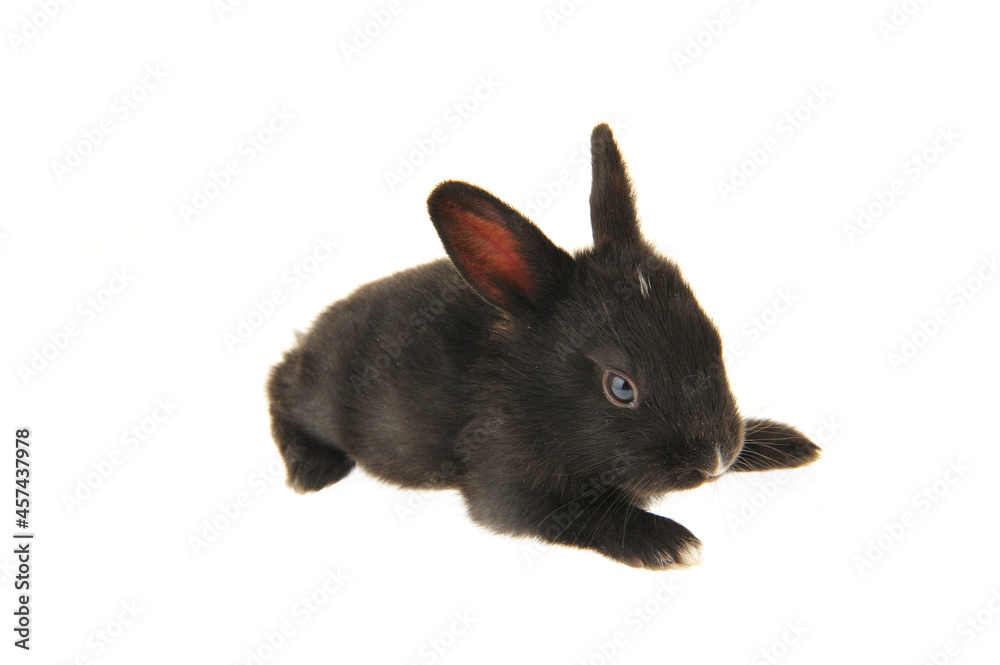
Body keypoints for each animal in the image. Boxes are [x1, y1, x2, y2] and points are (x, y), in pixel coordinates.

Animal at [267, 123, 820, 569]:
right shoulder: (508, 493)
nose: (716, 460)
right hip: (317, 400)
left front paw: (788, 443)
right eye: (621, 387)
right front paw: (672, 545)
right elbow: (583, 513)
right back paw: (310, 469)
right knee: (279, 387)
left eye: (714, 341)